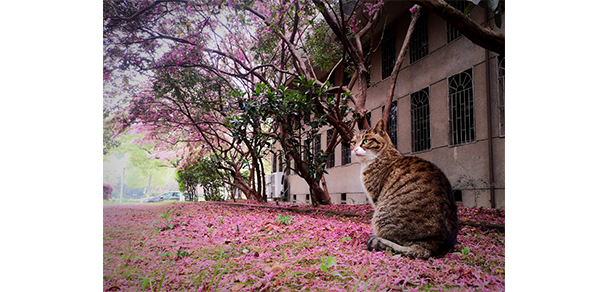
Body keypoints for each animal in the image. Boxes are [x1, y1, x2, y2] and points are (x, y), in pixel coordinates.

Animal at [350, 118, 454, 258]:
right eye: (353, 142)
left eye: (365, 141)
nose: (355, 149)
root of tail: (433, 247)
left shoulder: (376, 198)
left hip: (382, 213)